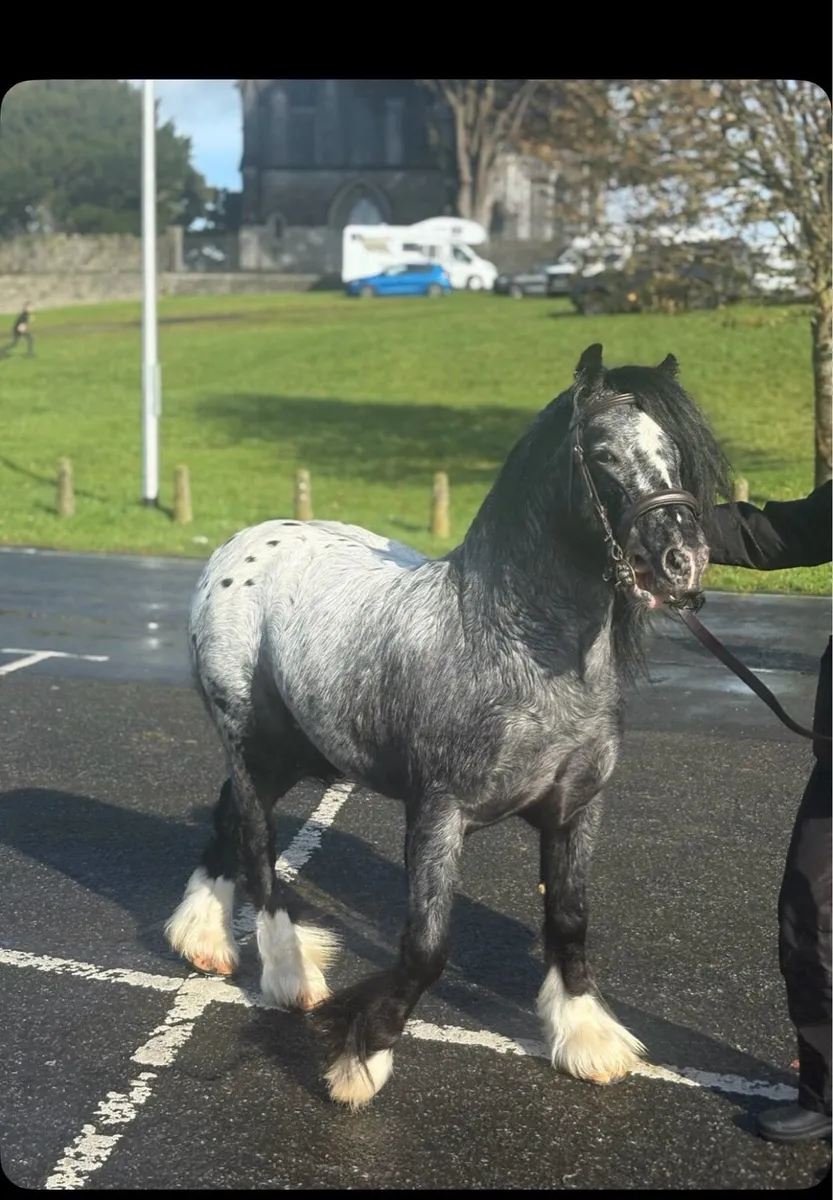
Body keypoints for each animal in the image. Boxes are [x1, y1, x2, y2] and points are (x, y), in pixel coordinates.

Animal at [164, 342, 734, 1108]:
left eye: (671, 452)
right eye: (604, 454)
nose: (684, 562)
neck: (519, 649)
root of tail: (239, 545)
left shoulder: (576, 809)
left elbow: (569, 920)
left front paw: (587, 1036)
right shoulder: (439, 813)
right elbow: (428, 946)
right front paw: (361, 1059)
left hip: (296, 753)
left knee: (229, 816)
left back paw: (202, 935)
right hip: (252, 745)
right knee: (257, 844)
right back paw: (288, 972)